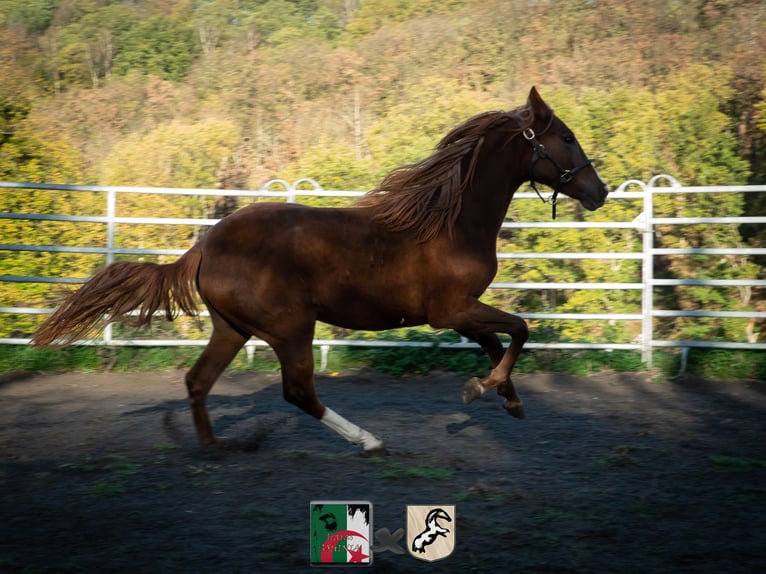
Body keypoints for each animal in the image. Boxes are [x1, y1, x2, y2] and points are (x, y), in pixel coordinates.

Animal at [33, 88, 608, 452]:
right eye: (567, 138)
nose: (599, 191)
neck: (451, 220)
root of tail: (205, 247)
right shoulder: (450, 310)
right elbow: (519, 330)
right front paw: (485, 390)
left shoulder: (456, 313)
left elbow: (497, 341)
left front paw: (503, 396)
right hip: (290, 328)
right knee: (298, 392)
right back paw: (367, 440)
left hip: (233, 328)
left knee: (198, 381)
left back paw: (219, 447)